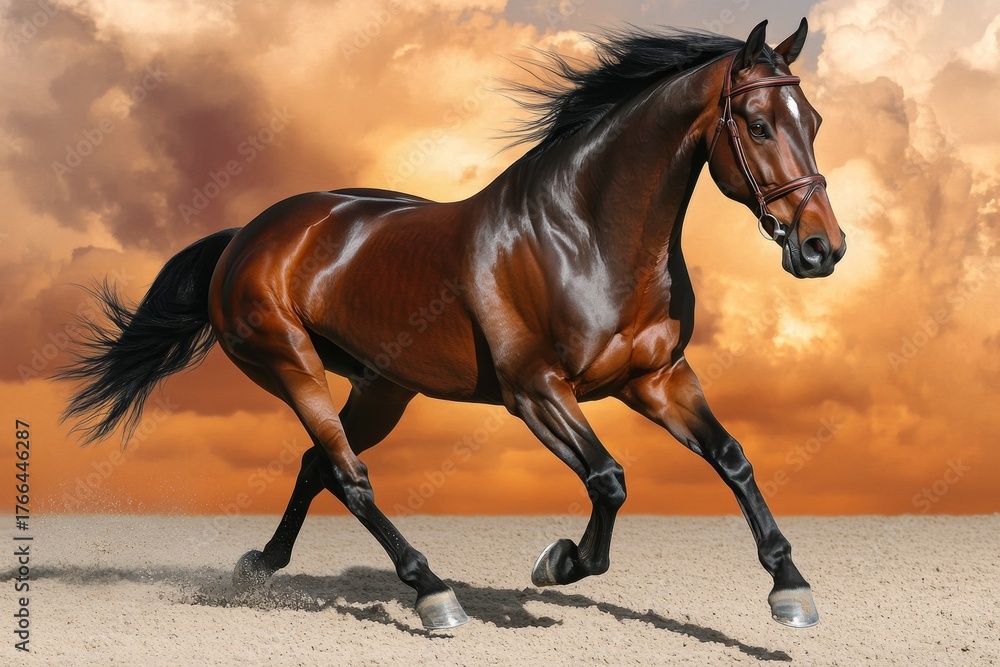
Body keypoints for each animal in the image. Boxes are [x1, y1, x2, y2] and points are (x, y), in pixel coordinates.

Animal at [58, 19, 845, 630]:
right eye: (758, 124)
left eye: (815, 123)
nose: (822, 248)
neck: (584, 236)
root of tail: (246, 236)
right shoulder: (536, 390)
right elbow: (609, 478)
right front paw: (557, 562)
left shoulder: (656, 379)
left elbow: (732, 457)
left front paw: (791, 590)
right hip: (291, 366)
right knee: (349, 474)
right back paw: (433, 593)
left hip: (382, 388)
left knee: (319, 464)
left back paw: (263, 564)